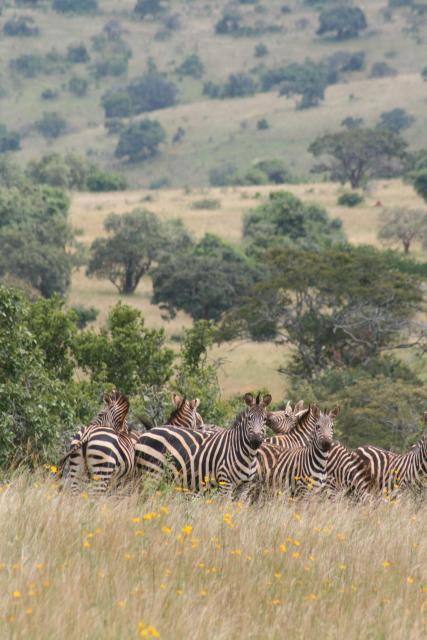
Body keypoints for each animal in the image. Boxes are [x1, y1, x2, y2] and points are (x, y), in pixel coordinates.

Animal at [134, 393, 272, 495]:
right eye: (249, 418)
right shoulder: (225, 483)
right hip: (152, 474)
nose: (256, 440)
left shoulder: (244, 487)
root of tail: (144, 434)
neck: (248, 454)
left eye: (265, 419)